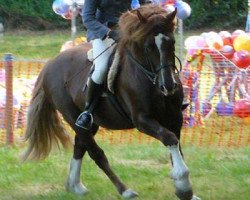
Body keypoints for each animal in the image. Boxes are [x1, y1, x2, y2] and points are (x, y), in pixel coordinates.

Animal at [23, 3, 199, 200]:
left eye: (172, 42)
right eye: (148, 46)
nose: (168, 85)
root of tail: (49, 65)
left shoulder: (174, 117)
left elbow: (176, 145)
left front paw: (185, 191)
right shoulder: (142, 120)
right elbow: (169, 138)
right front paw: (183, 186)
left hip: (90, 124)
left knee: (80, 147)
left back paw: (75, 186)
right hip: (72, 117)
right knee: (96, 153)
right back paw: (124, 190)